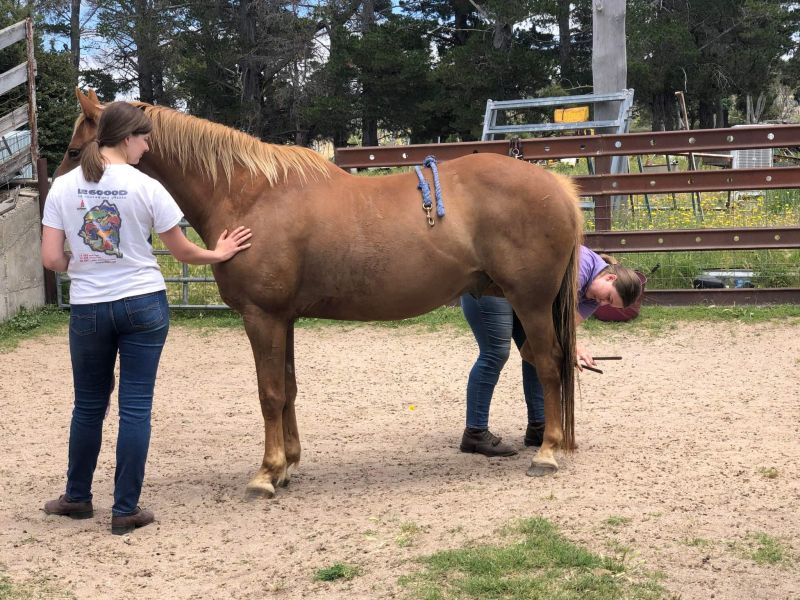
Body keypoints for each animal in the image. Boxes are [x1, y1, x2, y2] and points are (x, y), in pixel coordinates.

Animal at [54, 88, 583, 498]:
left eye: (75, 149)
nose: (59, 213)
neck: (250, 194)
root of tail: (556, 183)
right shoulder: (282, 319)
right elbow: (287, 388)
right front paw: (287, 463)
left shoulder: (261, 316)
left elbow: (268, 392)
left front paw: (266, 473)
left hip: (531, 304)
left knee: (549, 365)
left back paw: (548, 452)